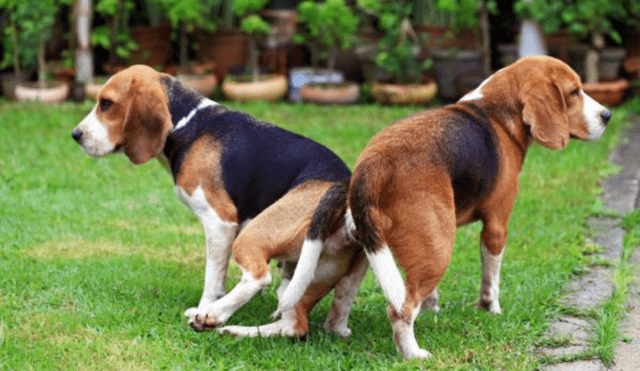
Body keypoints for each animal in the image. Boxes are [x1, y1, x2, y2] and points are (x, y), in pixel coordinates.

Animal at [71, 64, 364, 340]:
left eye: (106, 103)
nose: (76, 135)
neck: (187, 123)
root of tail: (342, 189)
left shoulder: (219, 221)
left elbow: (212, 279)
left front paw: (204, 307)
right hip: (312, 274)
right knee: (303, 325)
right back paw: (238, 330)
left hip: (253, 235)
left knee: (259, 278)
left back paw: (212, 316)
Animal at [342, 56, 612, 360]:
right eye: (574, 92)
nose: (607, 115)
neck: (496, 113)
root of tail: (375, 161)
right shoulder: (496, 226)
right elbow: (490, 277)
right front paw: (490, 308)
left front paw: (432, 309)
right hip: (438, 248)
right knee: (401, 309)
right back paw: (413, 353)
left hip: (376, 242)